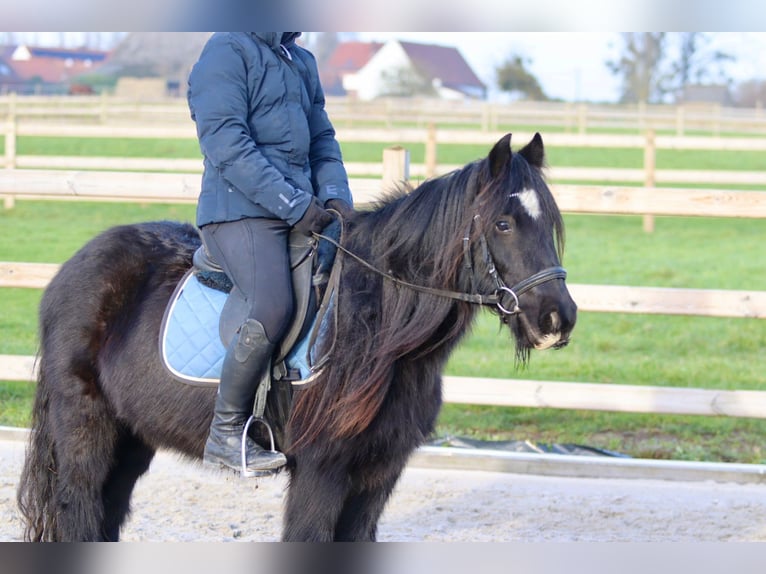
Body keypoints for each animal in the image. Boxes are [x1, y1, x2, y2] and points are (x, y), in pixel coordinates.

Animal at [16, 133, 576, 544]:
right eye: (503, 223)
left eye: (549, 221)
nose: (558, 318)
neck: (375, 327)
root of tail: (72, 269)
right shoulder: (322, 471)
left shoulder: (379, 473)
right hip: (86, 427)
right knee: (79, 513)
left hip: (132, 437)